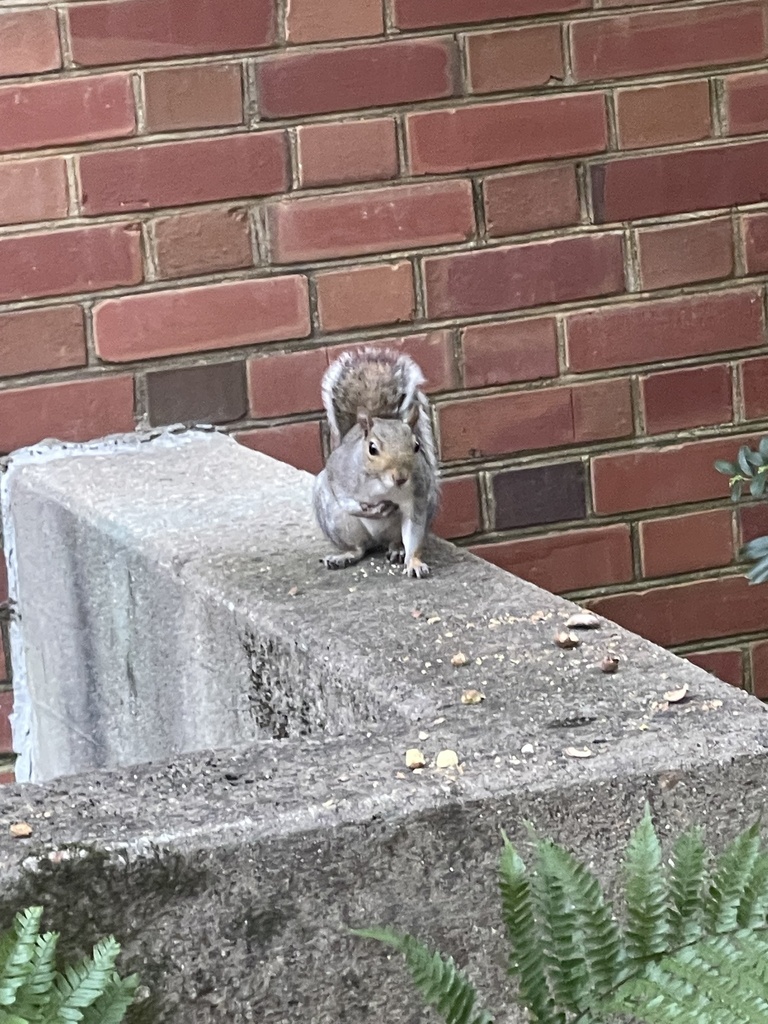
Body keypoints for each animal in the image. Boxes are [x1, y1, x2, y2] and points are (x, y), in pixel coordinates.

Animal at [313, 350, 442, 577]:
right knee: (358, 548)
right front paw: (372, 510)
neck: (383, 485)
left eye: (416, 446)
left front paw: (414, 563)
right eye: (372, 449)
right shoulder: (339, 474)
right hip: (339, 524)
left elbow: (413, 531)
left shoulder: (418, 495)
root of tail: (377, 541)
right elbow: (345, 499)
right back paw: (344, 556)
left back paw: (398, 550)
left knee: (395, 541)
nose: (400, 477)